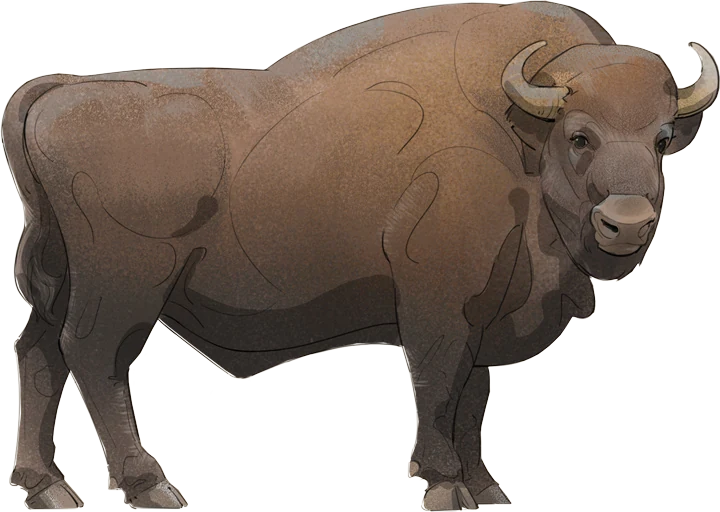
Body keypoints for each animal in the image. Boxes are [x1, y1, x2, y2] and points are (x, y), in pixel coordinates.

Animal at [2, 1, 717, 510]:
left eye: (661, 138)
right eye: (580, 135)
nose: (627, 223)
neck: (519, 132)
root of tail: (56, 90)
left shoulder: (486, 314)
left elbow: (472, 401)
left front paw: (487, 489)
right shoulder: (439, 306)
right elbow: (437, 389)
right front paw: (444, 486)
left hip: (64, 281)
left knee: (39, 352)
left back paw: (50, 489)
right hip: (125, 287)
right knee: (95, 358)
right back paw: (152, 488)